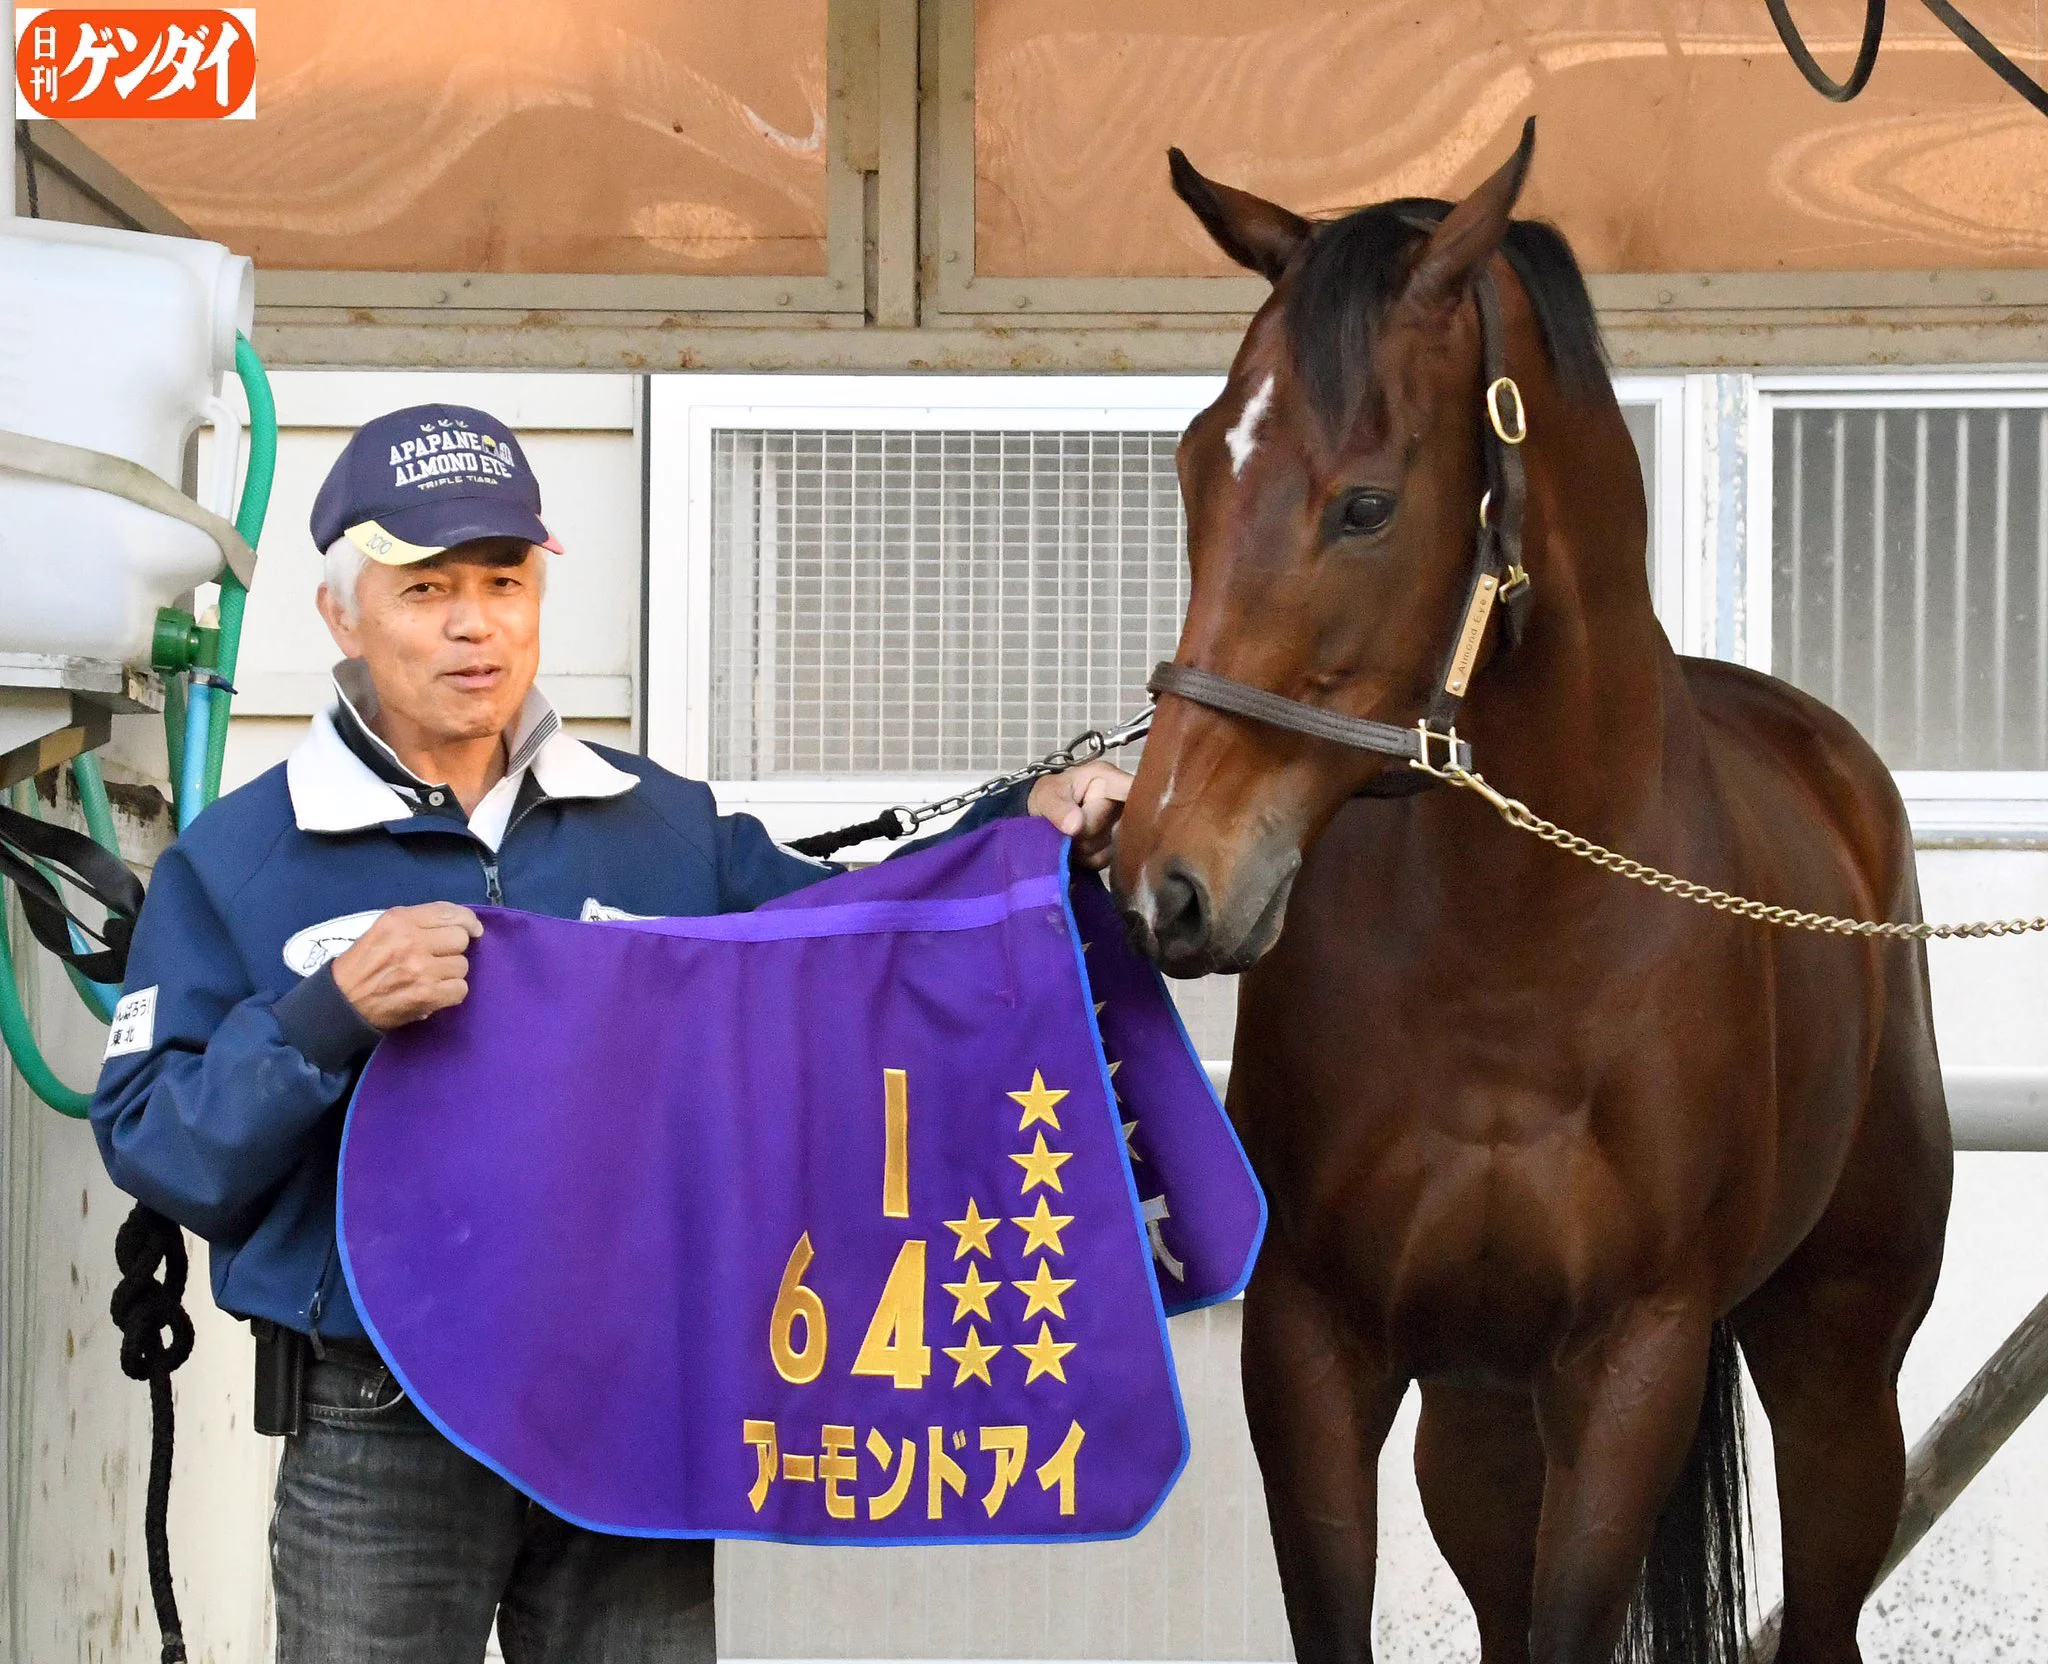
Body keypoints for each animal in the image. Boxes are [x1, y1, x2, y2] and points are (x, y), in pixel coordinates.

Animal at [1111, 121, 1953, 1664]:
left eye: (1366, 503)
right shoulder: (1315, 1348)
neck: (1511, 953)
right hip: (1481, 1416)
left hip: (1836, 1368)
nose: (1167, 883)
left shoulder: (1631, 1361)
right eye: (1200, 466)